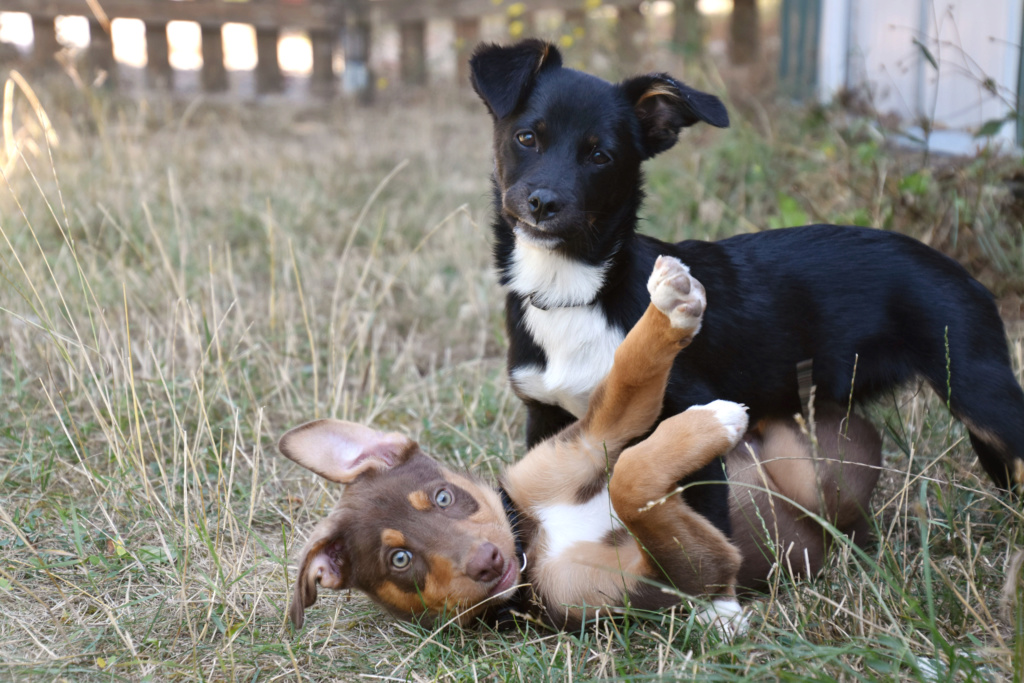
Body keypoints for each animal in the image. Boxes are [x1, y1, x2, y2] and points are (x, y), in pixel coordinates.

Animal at [280, 259, 880, 634]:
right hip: (822, 485)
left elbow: (628, 382)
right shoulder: (672, 583)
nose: (487, 561)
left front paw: (671, 306)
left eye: (445, 498)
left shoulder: (588, 440)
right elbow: (633, 486)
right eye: (400, 560)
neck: (532, 541)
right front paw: (713, 421)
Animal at [468, 38, 1024, 532]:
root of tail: (965, 274)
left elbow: (709, 521)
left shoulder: (691, 418)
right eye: (527, 138)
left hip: (980, 390)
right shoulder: (546, 417)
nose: (544, 202)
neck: (578, 291)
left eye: (600, 156)